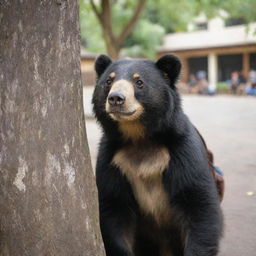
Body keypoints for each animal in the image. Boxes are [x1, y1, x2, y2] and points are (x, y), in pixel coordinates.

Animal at [92, 54, 222, 256]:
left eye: (139, 82)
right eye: (109, 81)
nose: (116, 99)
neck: (139, 136)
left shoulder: (182, 150)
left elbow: (198, 201)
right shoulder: (112, 158)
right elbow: (113, 206)